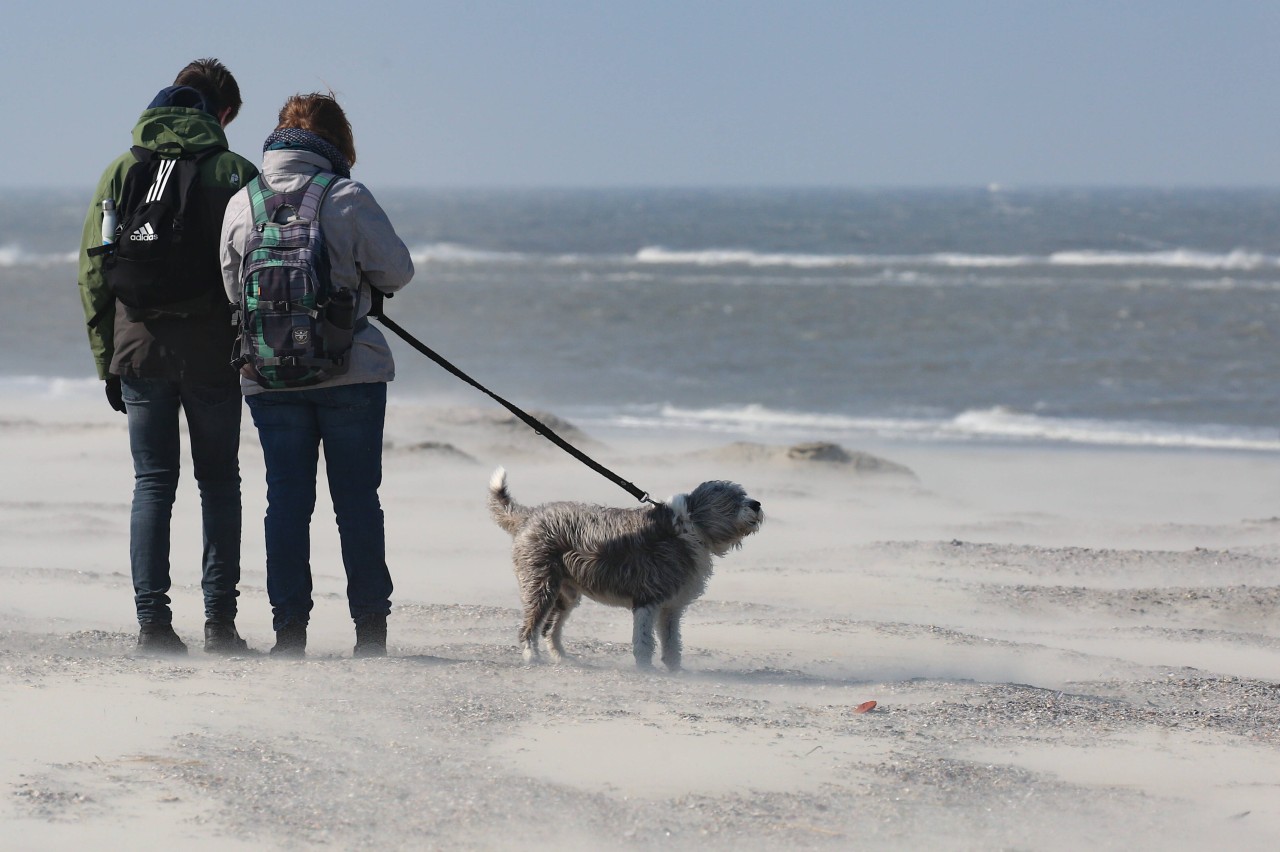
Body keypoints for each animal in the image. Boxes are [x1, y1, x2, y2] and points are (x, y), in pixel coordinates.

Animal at [488, 465, 757, 670]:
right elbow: (644, 641)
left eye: (743, 494)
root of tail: (530, 515)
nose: (756, 504)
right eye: (731, 500)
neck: (686, 528)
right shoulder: (647, 599)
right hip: (541, 585)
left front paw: (675, 670)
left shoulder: (671, 608)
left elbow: (672, 642)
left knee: (549, 629)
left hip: (567, 593)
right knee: (530, 627)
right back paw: (532, 657)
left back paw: (561, 657)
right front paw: (646, 669)